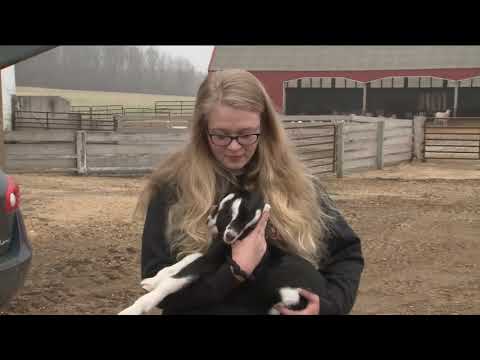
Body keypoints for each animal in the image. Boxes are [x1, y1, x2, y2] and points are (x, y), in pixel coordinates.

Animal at [118, 190, 324, 314]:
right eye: (226, 211)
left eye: (249, 226)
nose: (230, 235)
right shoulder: (212, 254)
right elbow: (187, 259)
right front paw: (152, 280)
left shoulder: (212, 261)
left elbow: (174, 282)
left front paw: (134, 309)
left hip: (285, 289)